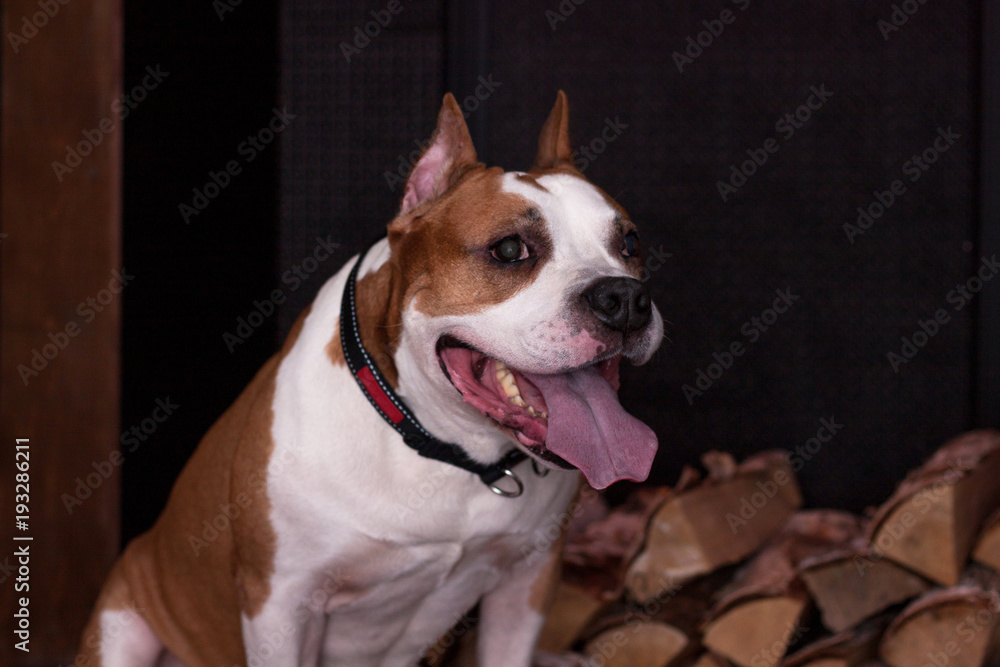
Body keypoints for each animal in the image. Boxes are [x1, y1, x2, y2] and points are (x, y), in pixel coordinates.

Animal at [80, 91, 664, 664]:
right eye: (509, 249)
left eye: (631, 243)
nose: (625, 299)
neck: (442, 446)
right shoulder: (280, 606)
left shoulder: (526, 583)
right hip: (124, 622)